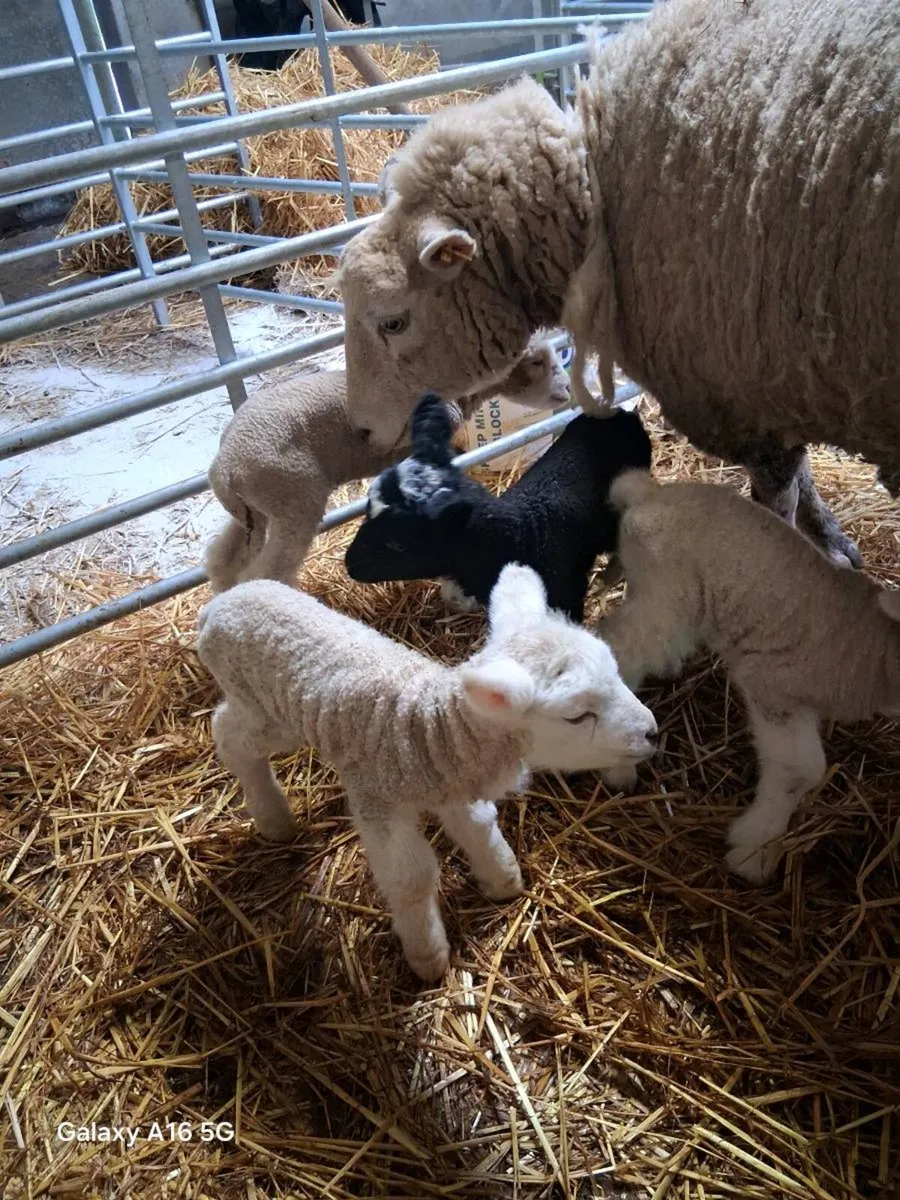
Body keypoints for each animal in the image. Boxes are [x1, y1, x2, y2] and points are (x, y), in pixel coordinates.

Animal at [197, 564, 659, 980]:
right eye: (577, 716)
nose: (652, 732)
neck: (427, 727)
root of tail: (222, 602)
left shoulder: (452, 786)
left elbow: (480, 827)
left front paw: (504, 879)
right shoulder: (377, 799)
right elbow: (411, 877)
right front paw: (428, 955)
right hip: (266, 712)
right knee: (228, 735)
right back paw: (274, 818)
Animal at [204, 340, 572, 593]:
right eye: (537, 360)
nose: (567, 389)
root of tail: (225, 467)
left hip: (256, 510)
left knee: (223, 558)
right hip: (293, 498)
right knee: (267, 571)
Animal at [336, 0, 900, 570]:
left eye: (392, 321)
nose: (360, 430)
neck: (592, 201)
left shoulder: (741, 384)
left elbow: (779, 497)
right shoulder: (772, 379)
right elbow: (801, 477)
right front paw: (831, 541)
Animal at [596, 469, 900, 884]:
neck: (875, 651)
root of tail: (647, 492)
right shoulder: (773, 688)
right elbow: (801, 769)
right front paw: (754, 851)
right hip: (670, 597)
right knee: (620, 647)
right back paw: (618, 763)